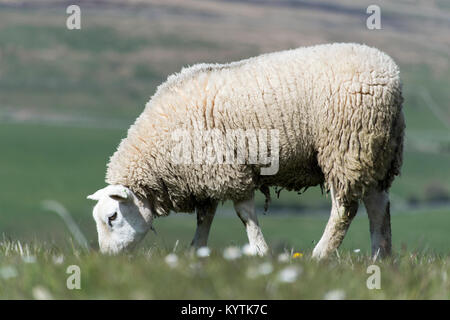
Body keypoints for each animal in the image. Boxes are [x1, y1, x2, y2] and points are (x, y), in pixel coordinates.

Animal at [87, 42, 404, 258]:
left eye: (112, 217)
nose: (108, 260)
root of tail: (391, 75)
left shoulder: (229, 169)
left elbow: (243, 214)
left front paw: (261, 251)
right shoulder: (204, 176)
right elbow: (205, 217)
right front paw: (196, 252)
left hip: (347, 146)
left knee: (344, 209)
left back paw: (319, 256)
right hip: (377, 151)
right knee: (378, 205)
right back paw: (381, 258)